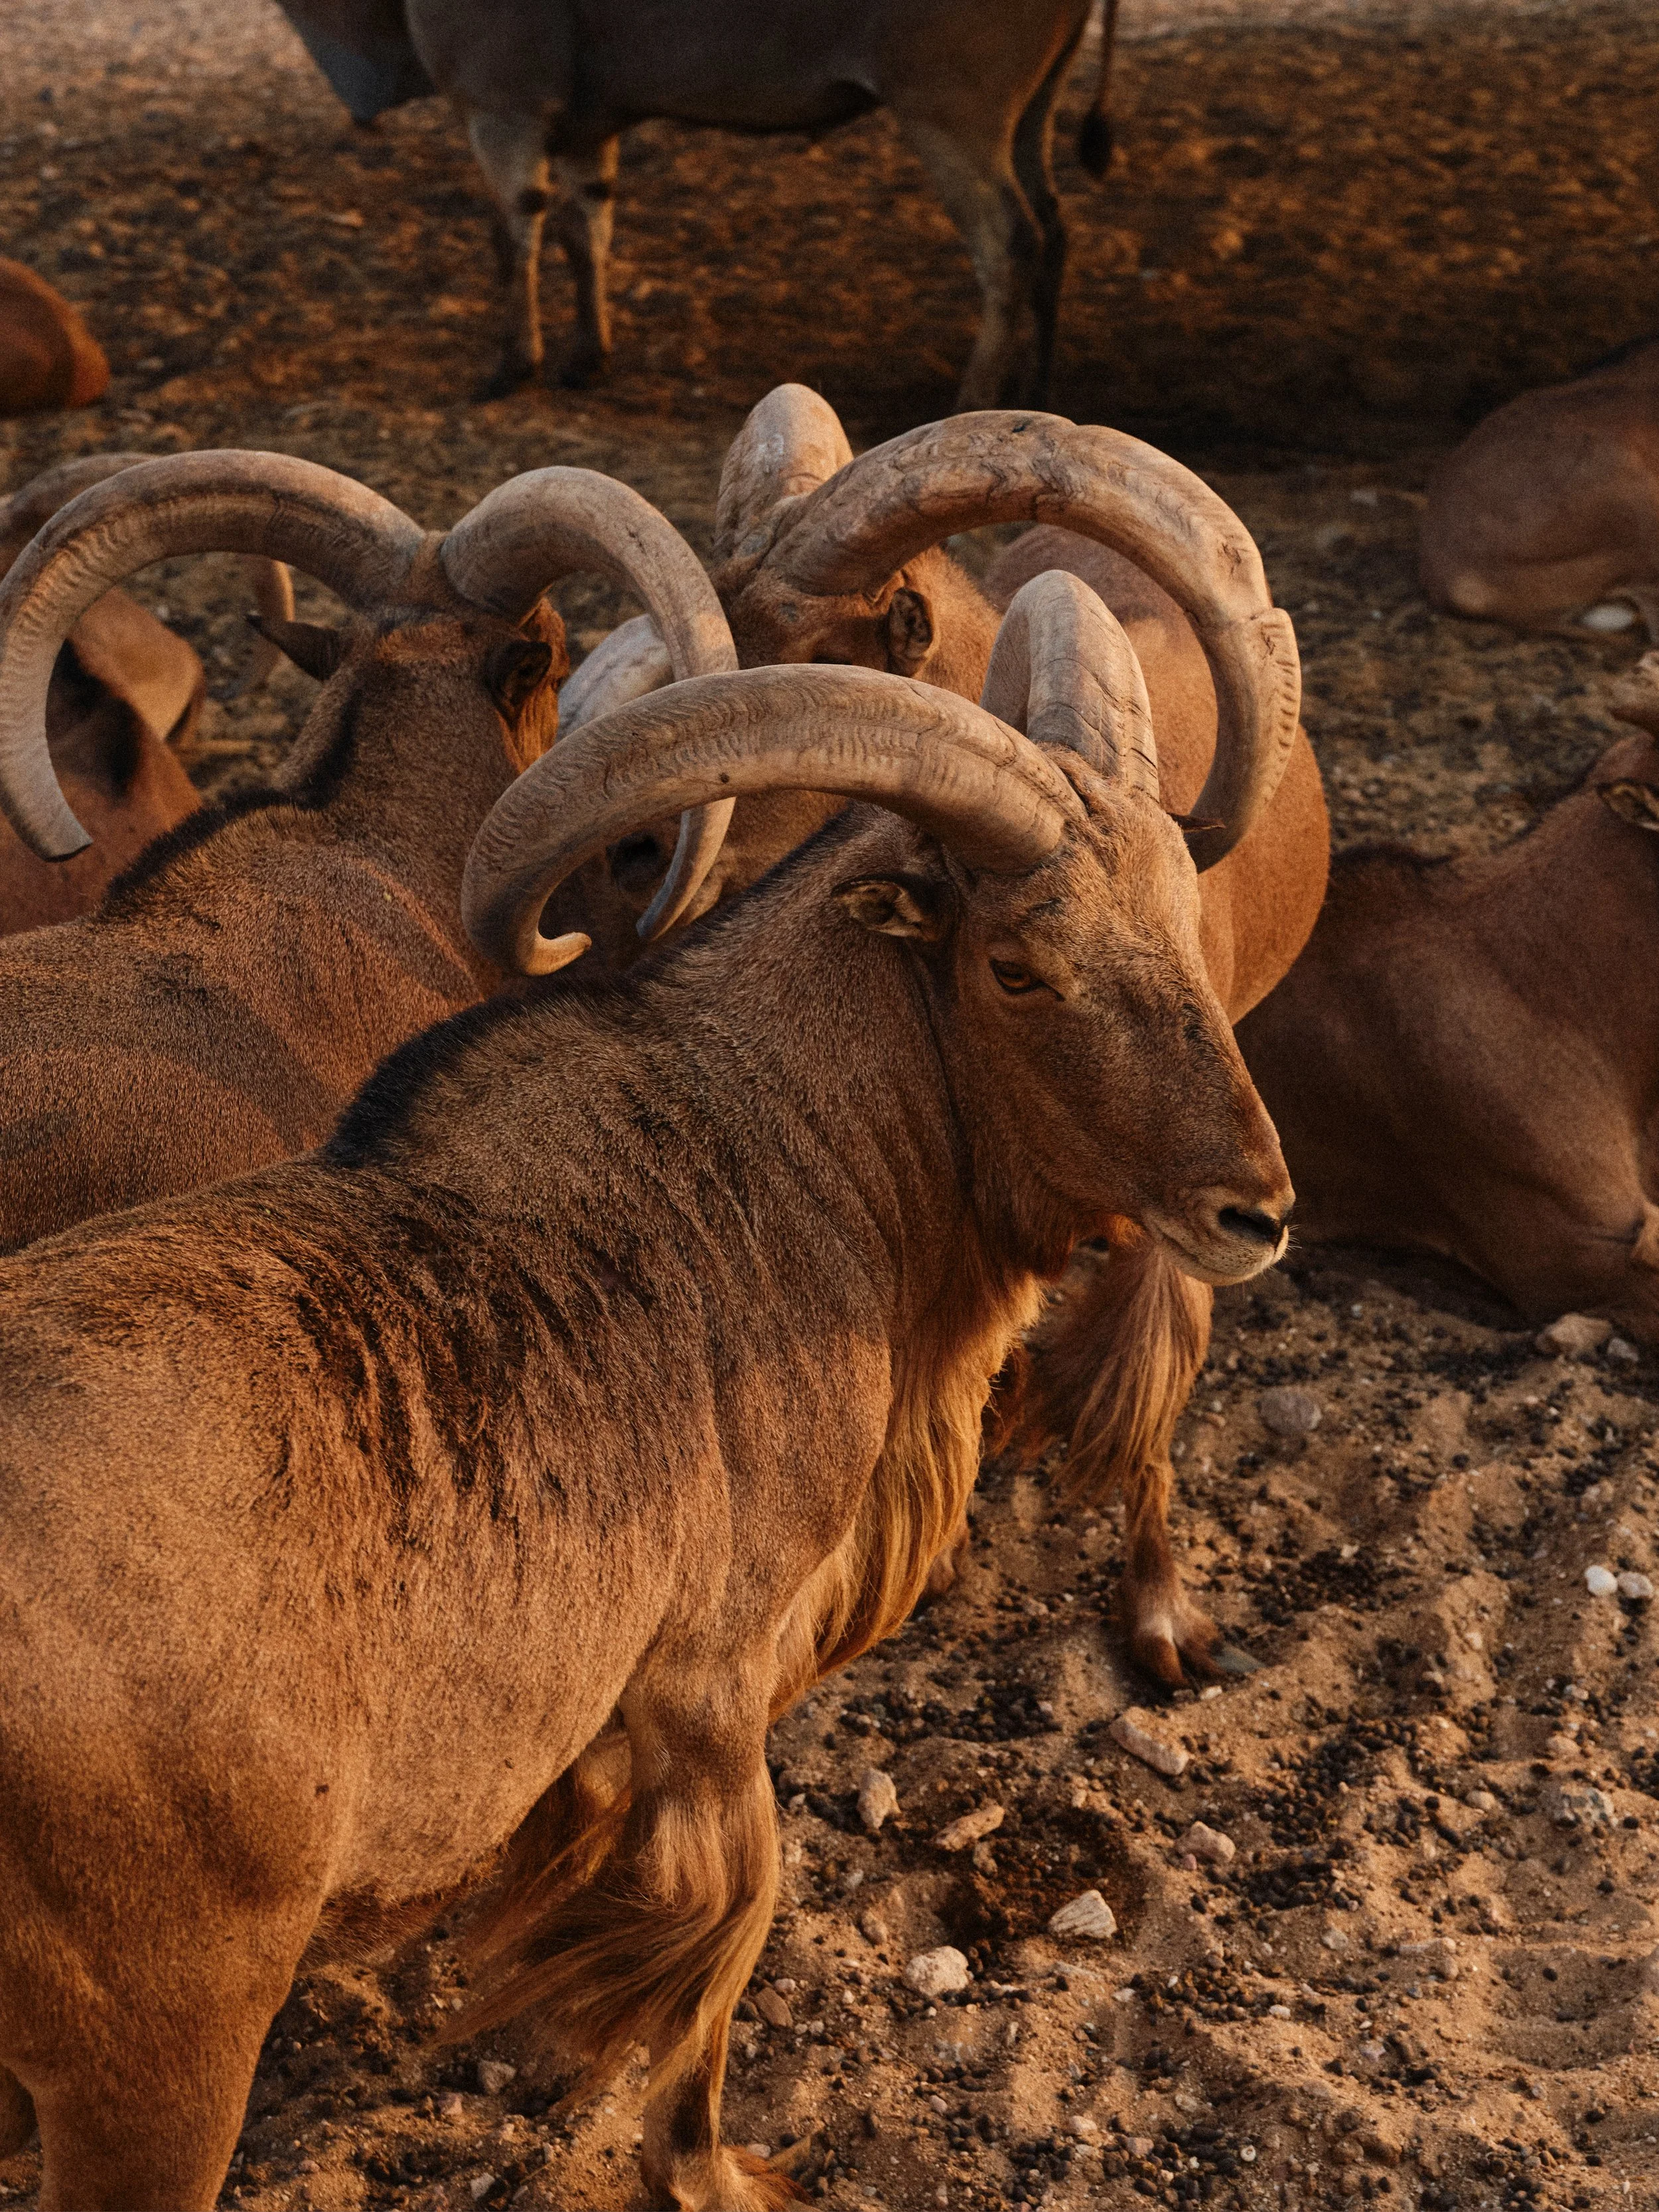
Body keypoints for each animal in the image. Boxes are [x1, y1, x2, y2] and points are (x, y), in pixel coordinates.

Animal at [0, 571, 1291, 2212]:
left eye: (1184, 921)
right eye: (1018, 965)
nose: (1255, 1207)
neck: (779, 1161)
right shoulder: (711, 1674)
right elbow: (725, 1931)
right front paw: (717, 2167)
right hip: (158, 2048)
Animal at [277, 0, 1116, 407]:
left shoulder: (502, 111)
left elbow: (515, 236)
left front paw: (513, 368)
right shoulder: (586, 132)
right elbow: (587, 233)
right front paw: (586, 359)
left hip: (949, 117)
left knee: (1009, 241)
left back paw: (970, 399)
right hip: (1030, 114)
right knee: (1054, 228)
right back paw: (1037, 392)